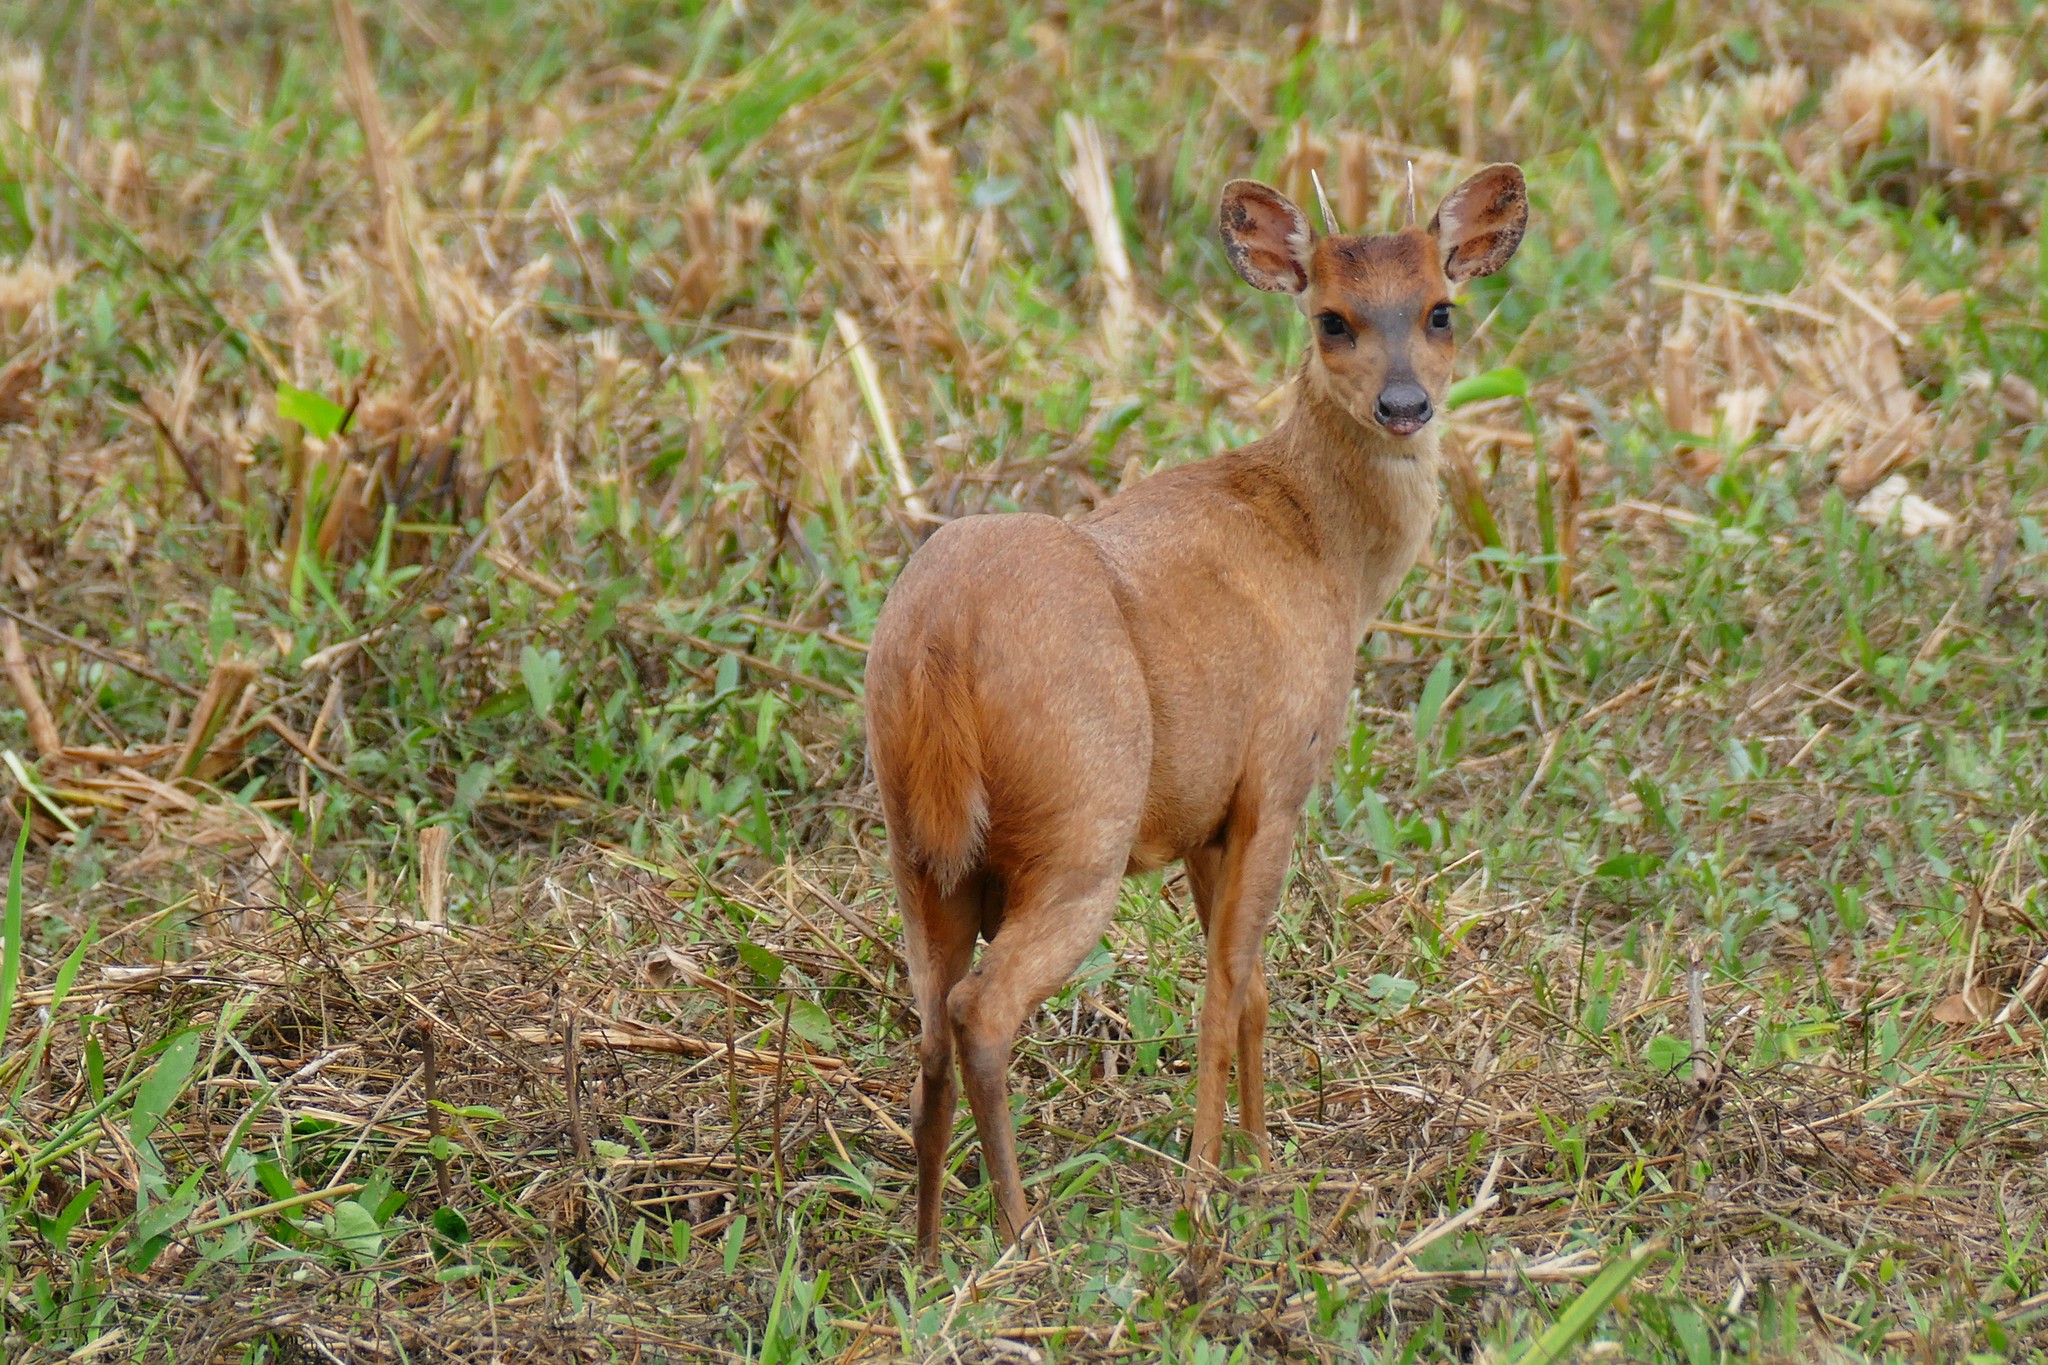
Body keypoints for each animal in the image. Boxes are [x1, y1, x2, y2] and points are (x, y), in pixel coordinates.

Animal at [860, 160, 1523, 1260]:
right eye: (1331, 319)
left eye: (1441, 309)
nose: (1404, 403)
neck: (1325, 551)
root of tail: (939, 643)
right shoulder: (1277, 775)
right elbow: (1223, 990)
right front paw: (1211, 1186)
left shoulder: (1207, 814)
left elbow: (1249, 986)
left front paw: (1258, 1158)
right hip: (1082, 823)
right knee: (981, 1012)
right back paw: (1021, 1231)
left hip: (917, 849)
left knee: (925, 1026)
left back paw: (927, 1248)